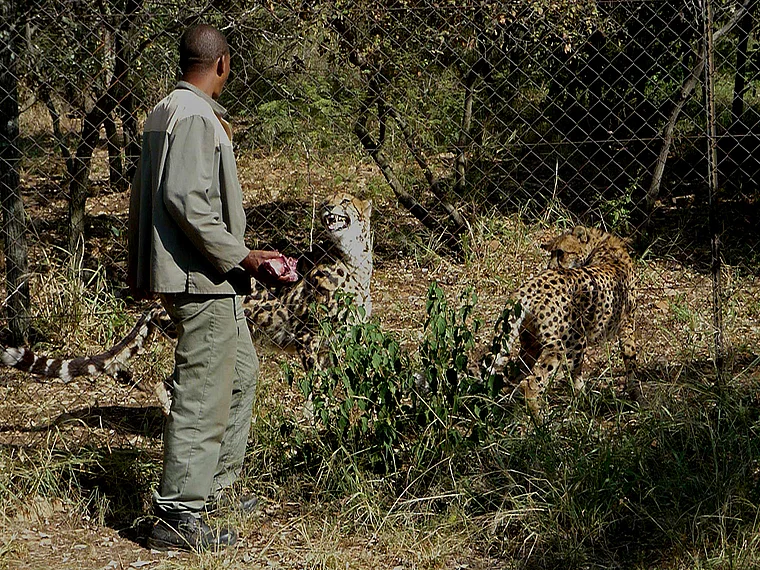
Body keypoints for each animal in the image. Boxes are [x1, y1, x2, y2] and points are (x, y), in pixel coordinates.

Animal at [485, 225, 636, 414]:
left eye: (560, 252)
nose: (549, 266)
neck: (601, 245)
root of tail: (525, 288)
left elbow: (577, 372)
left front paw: (582, 400)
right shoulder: (626, 325)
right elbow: (630, 360)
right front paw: (635, 396)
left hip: (533, 343)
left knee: (515, 375)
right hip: (565, 344)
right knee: (530, 384)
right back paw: (540, 419)